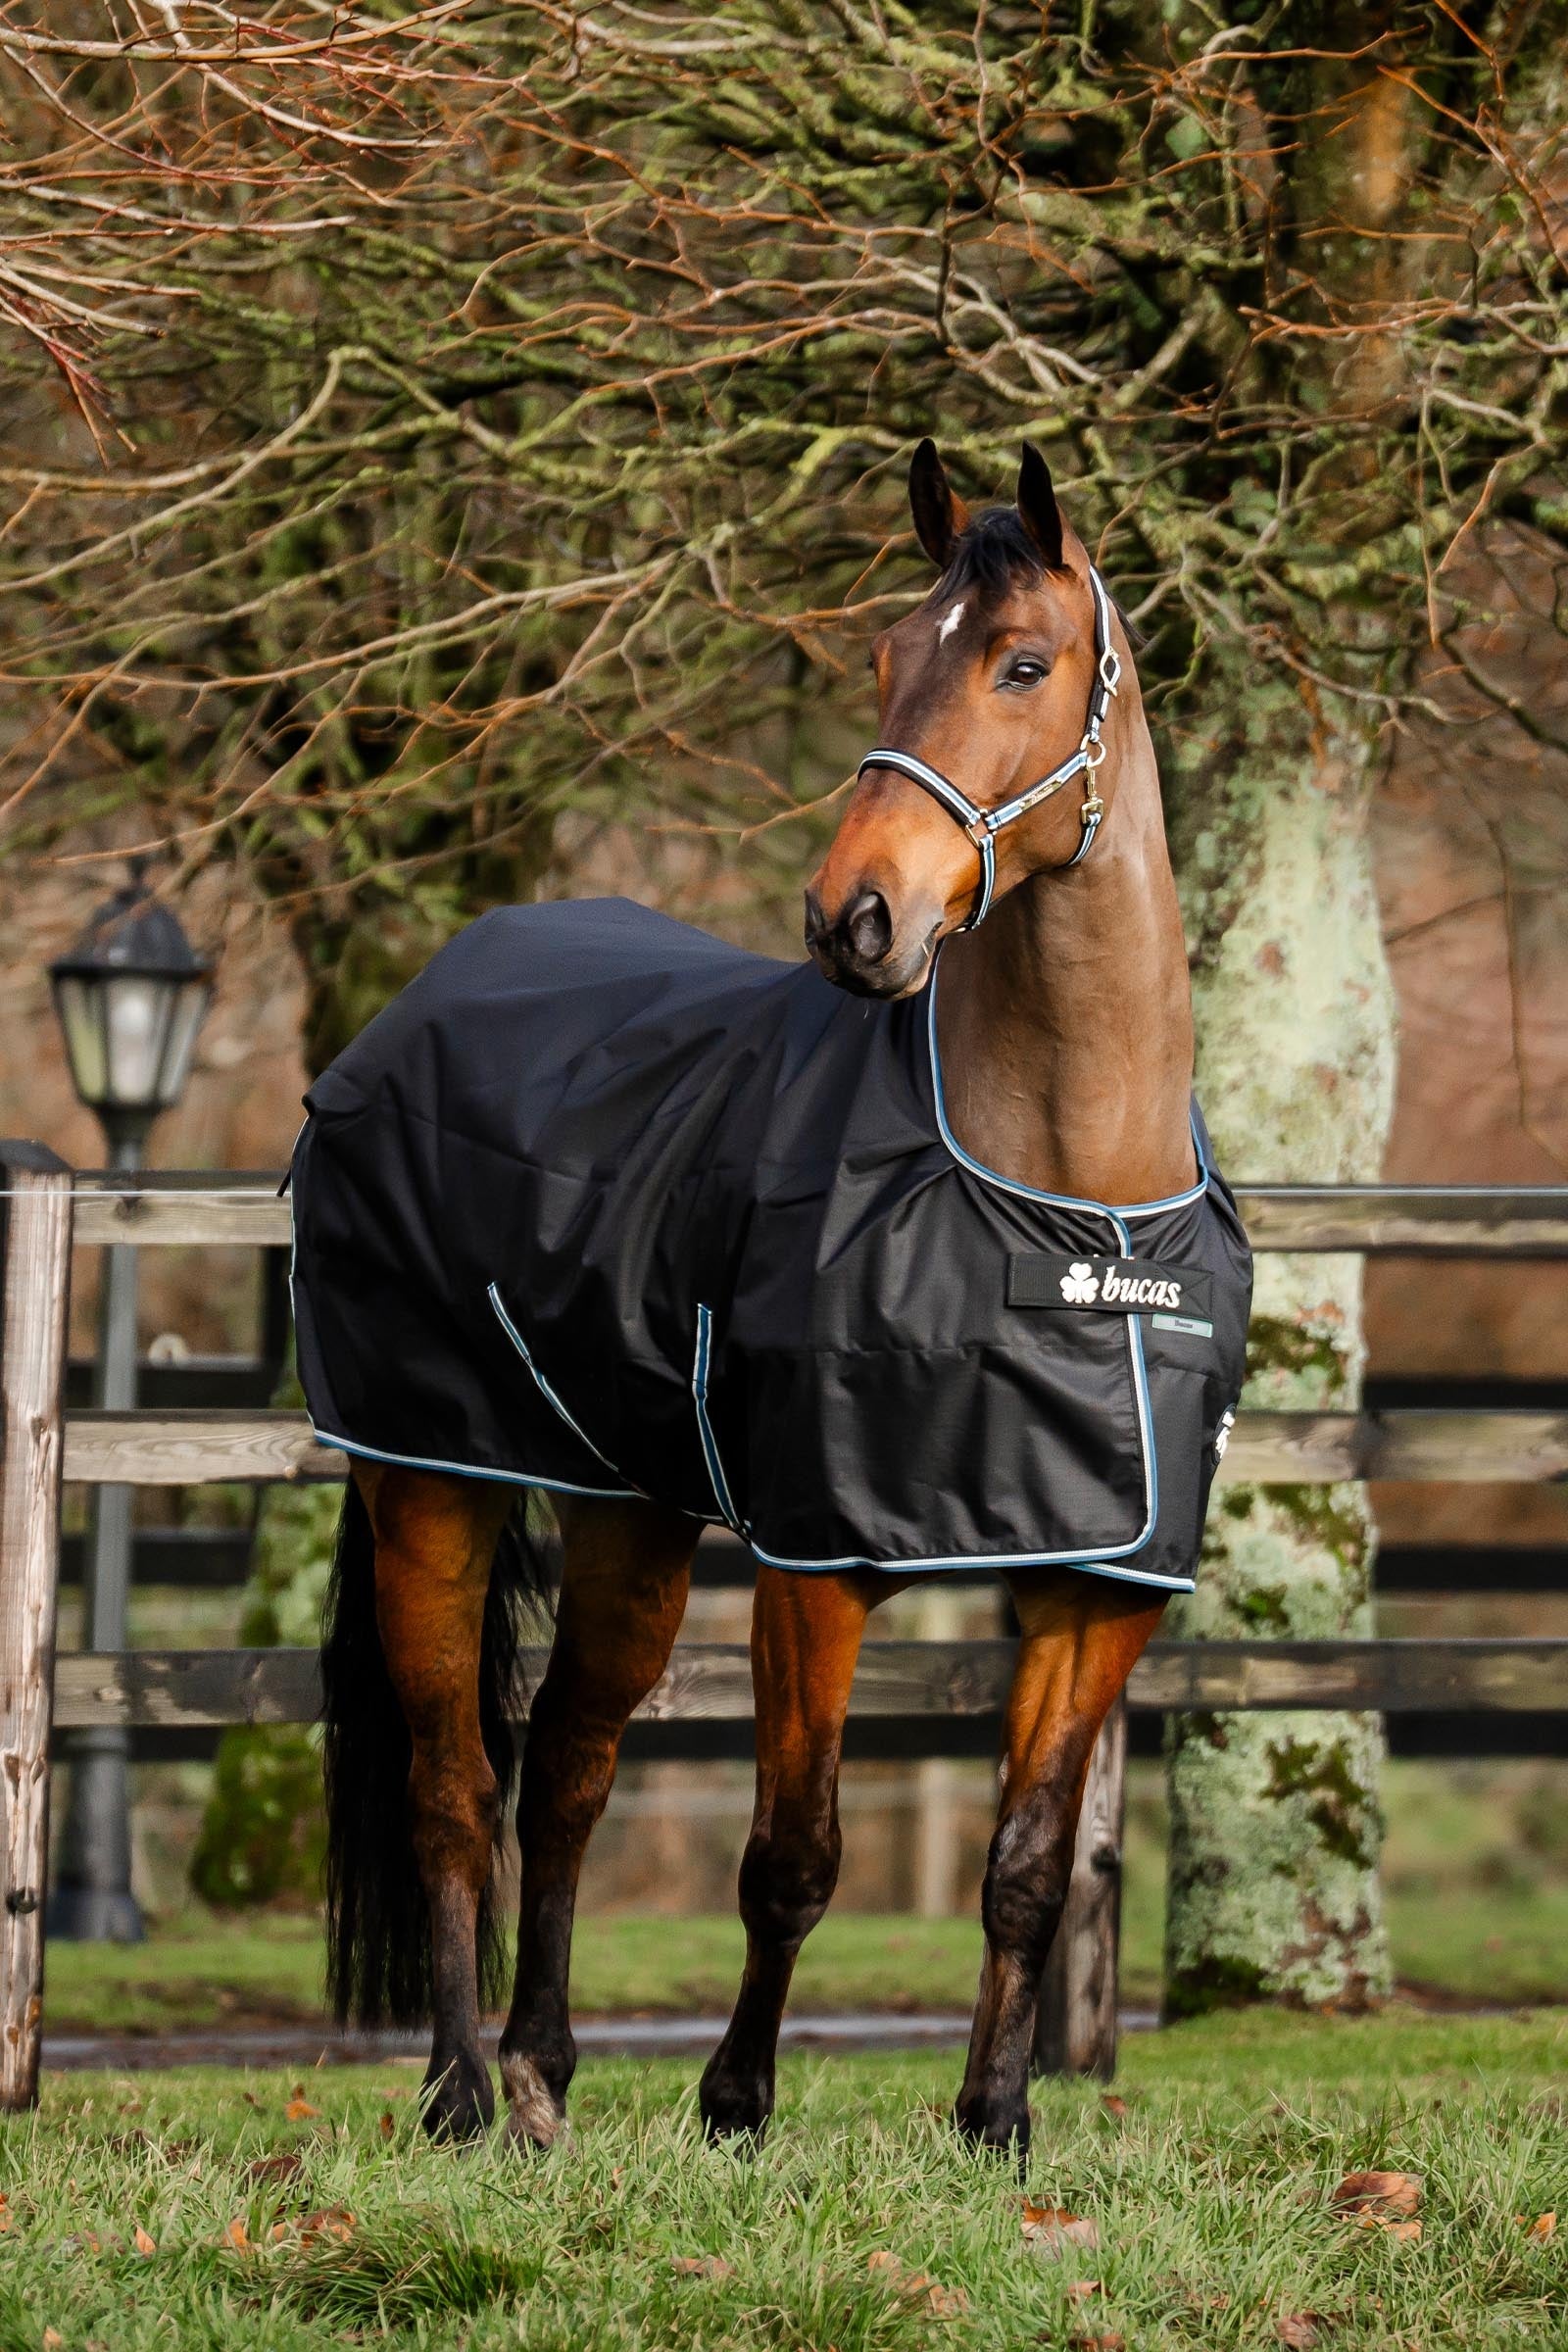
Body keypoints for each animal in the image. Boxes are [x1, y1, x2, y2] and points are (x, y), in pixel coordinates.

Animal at [297, 440, 1246, 2159]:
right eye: (884, 657)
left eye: (1022, 663)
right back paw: (461, 2094)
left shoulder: (1100, 1586)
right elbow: (793, 1856)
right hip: (427, 1482)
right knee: (453, 1782)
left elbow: (1026, 1866)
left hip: (632, 1513)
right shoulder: (820, 1566)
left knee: (570, 1765)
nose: (852, 919)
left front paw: (995, 2124)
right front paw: (736, 2107)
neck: (1070, 1207)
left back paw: (541, 2079)